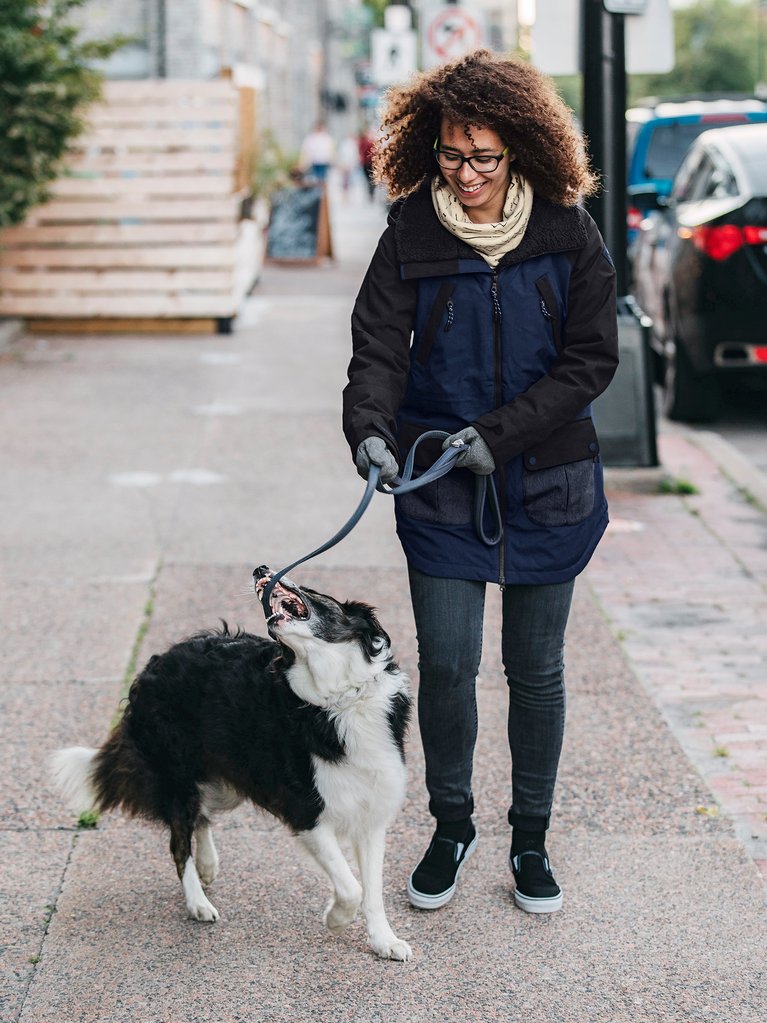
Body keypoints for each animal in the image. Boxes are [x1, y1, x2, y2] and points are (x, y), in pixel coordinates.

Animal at [51, 568, 415, 957]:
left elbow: (372, 891)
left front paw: (384, 940)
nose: (260, 570)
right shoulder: (307, 812)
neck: (340, 697)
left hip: (229, 779)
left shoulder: (372, 813)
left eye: (311, 588)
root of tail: (158, 659)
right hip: (179, 777)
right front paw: (335, 919)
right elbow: (352, 887)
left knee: (201, 818)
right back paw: (198, 902)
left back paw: (207, 866)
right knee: (178, 843)